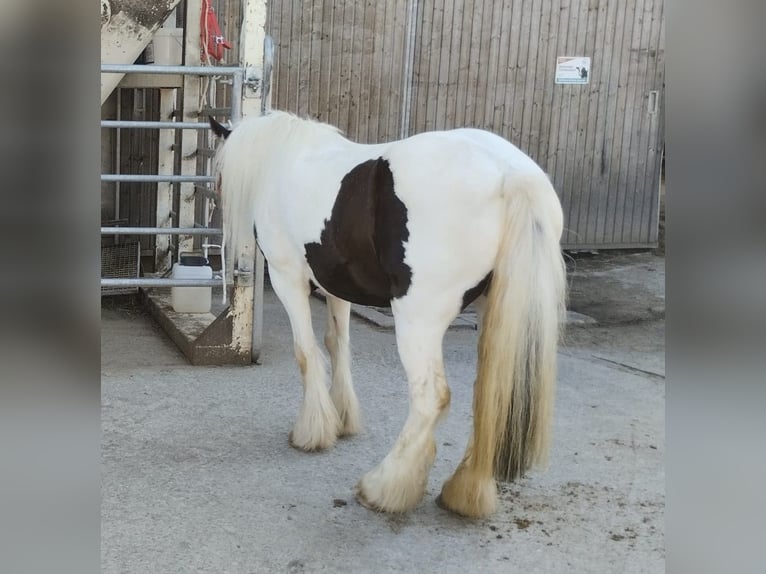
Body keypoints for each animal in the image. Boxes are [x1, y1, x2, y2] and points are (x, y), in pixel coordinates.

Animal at [208, 110, 564, 520]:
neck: (283, 158)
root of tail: (512, 174)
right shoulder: (337, 284)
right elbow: (337, 343)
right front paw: (343, 418)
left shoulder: (287, 278)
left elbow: (306, 352)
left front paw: (313, 431)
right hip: (493, 312)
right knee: (490, 395)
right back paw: (466, 491)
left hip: (417, 321)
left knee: (430, 398)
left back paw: (385, 487)